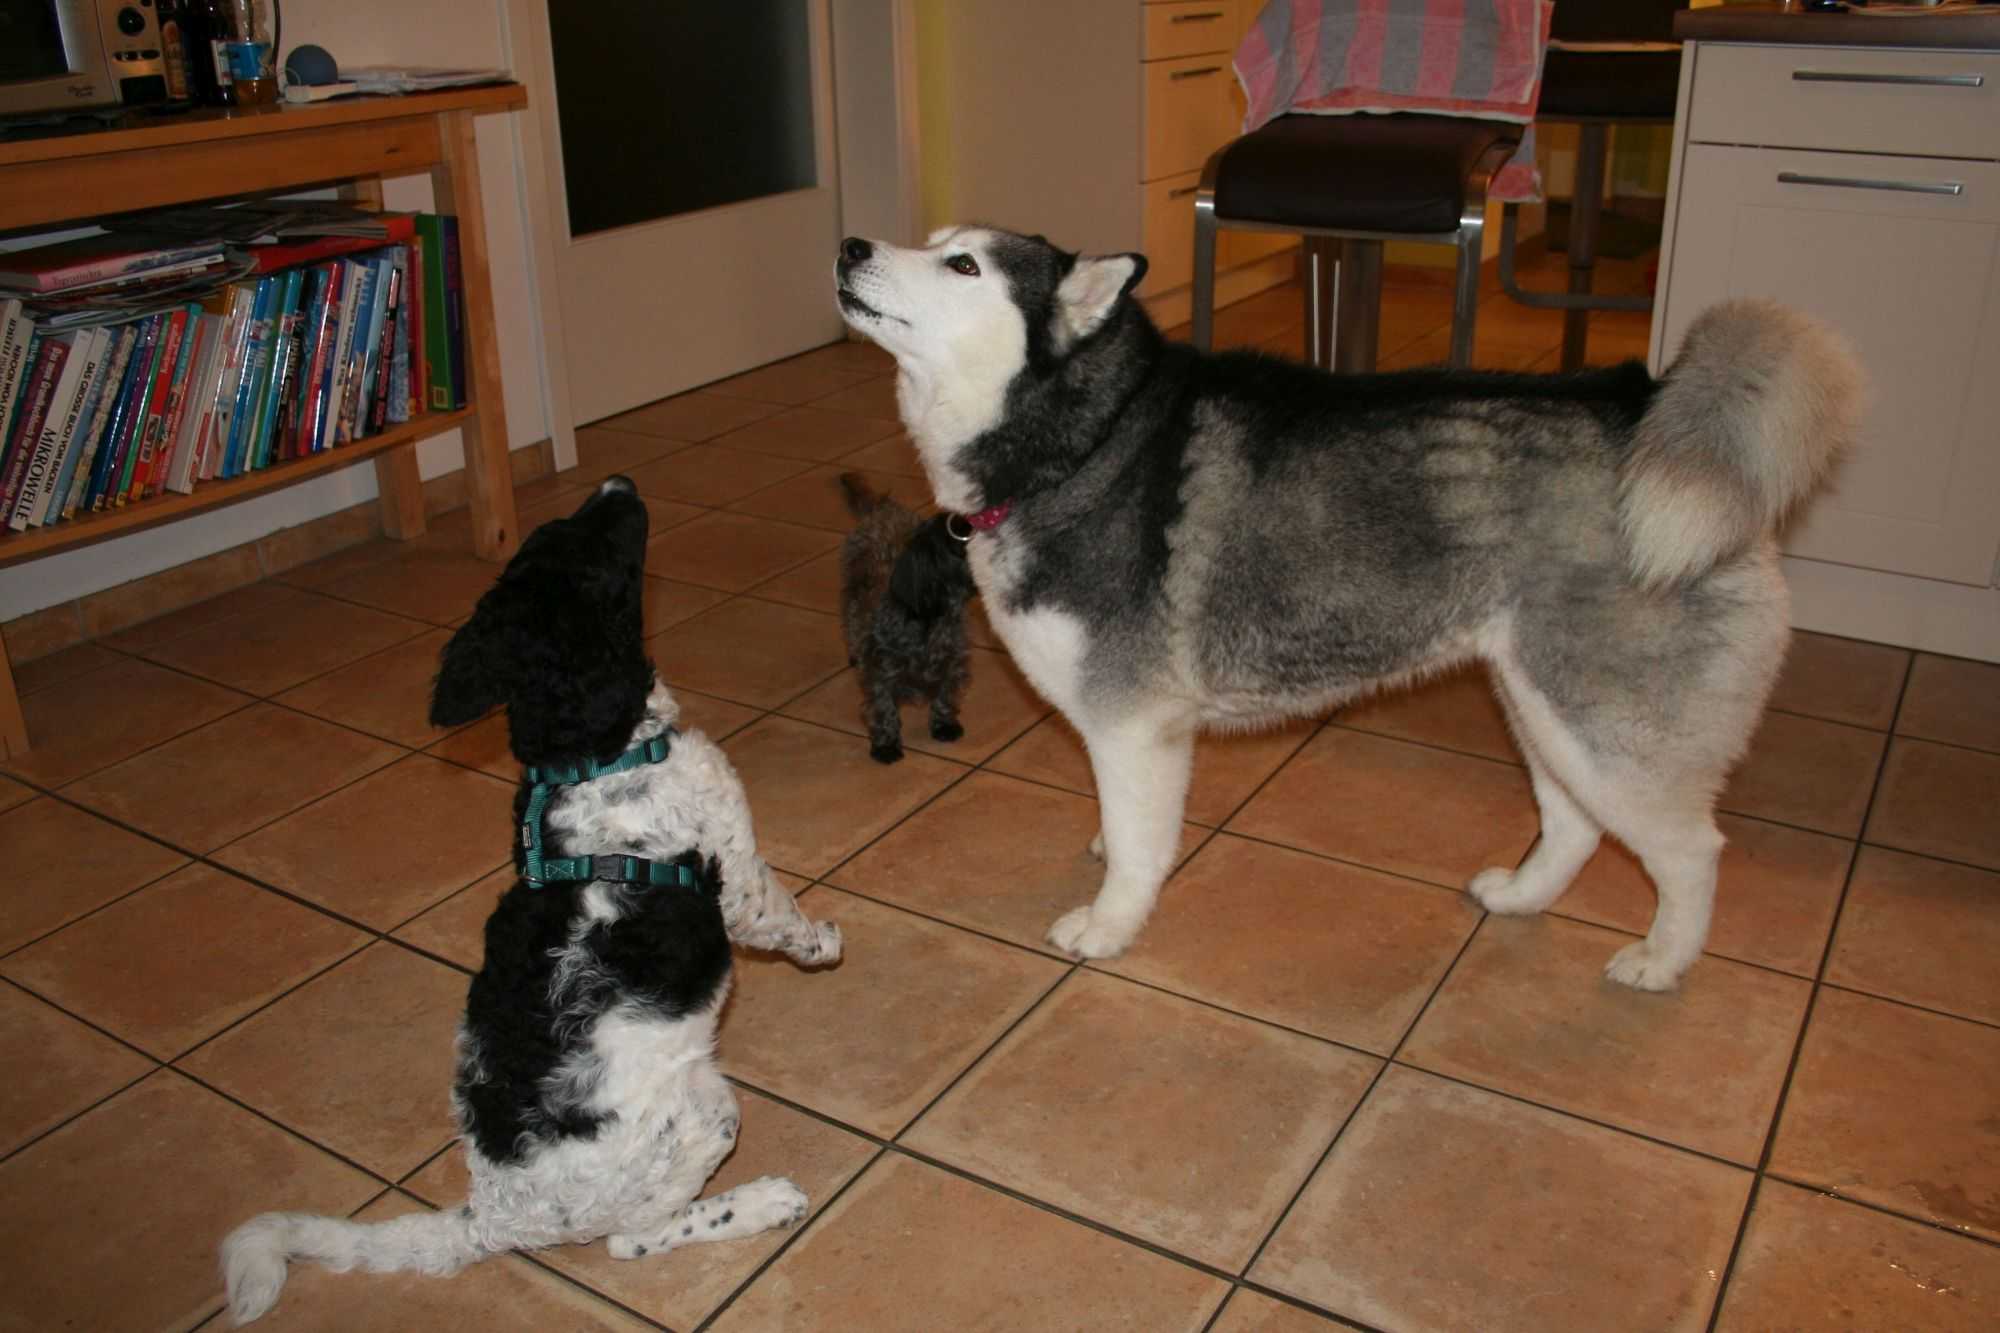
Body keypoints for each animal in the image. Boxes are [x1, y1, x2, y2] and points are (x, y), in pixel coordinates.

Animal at [219, 476, 842, 1323]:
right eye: (591, 552)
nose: (618, 482)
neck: (587, 758)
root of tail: (493, 1219)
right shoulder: (737, 864)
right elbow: (780, 911)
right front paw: (825, 941)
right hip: (708, 1110)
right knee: (636, 1237)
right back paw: (760, 1201)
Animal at [837, 472, 976, 763]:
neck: (931, 621)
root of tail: (882, 508)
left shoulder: (953, 662)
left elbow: (945, 695)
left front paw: (945, 725)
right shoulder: (881, 672)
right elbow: (883, 707)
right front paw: (886, 745)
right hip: (851, 589)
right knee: (850, 617)